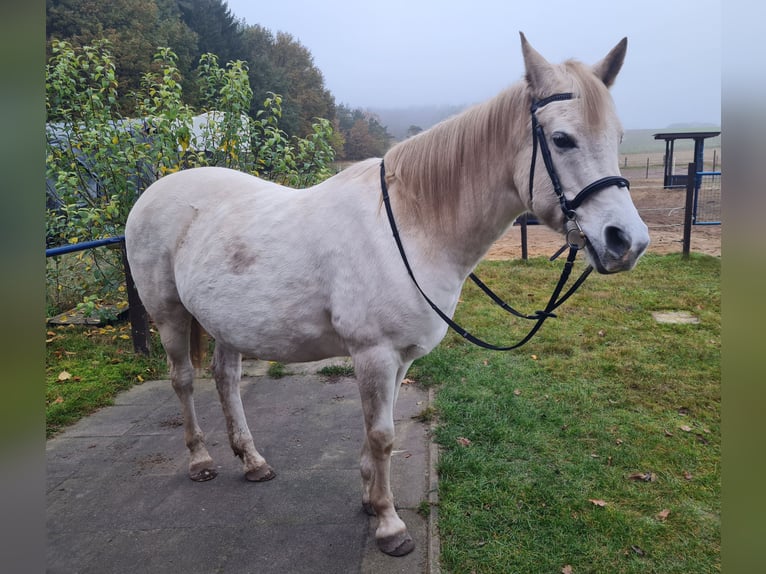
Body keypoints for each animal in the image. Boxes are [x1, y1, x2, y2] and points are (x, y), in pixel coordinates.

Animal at [124, 32, 648, 560]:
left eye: (619, 137)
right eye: (562, 139)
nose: (627, 241)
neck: (412, 225)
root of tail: (154, 190)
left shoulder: (399, 357)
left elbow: (380, 431)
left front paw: (369, 501)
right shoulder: (373, 353)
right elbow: (382, 435)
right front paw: (390, 525)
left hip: (228, 322)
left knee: (226, 379)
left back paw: (252, 461)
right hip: (169, 314)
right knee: (183, 380)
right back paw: (200, 460)